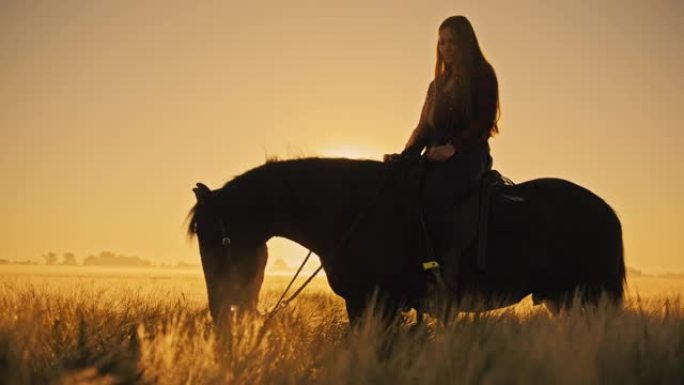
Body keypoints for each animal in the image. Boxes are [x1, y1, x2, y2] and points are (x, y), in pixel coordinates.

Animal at [187, 158, 624, 322]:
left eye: (219, 242)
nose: (221, 310)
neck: (351, 211)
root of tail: (606, 211)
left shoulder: (380, 304)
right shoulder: (363, 304)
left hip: (590, 297)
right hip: (563, 300)